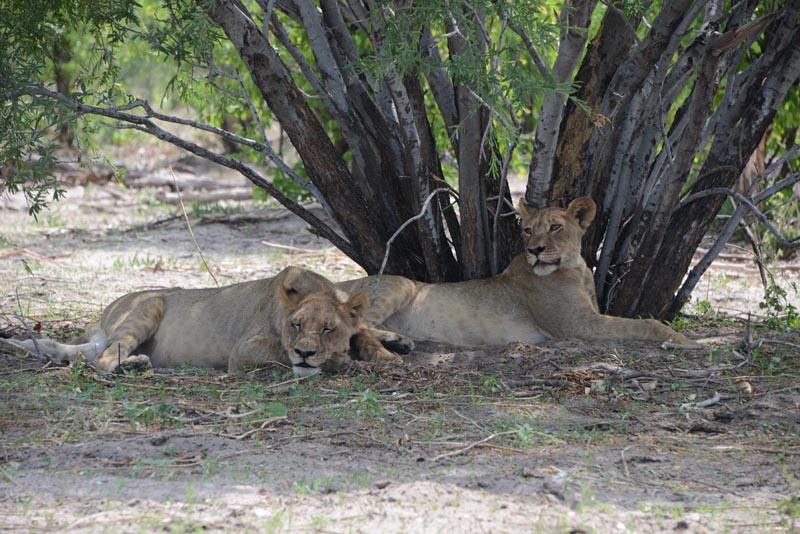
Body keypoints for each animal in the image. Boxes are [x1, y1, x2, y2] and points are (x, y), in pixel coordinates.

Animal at [14, 266, 409, 376]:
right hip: (148, 305)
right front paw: (338, 360)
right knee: (103, 358)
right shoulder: (243, 352)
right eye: (295, 325)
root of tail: (105, 313)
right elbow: (280, 355)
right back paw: (133, 364)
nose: (305, 353)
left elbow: (361, 331)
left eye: (328, 328)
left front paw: (385, 352)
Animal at [339, 197, 700, 348]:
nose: (535, 250)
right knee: (355, 324)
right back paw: (397, 341)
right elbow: (647, 324)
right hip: (401, 284)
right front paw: (688, 341)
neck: (574, 267)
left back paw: (400, 340)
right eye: (527, 230)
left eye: (554, 227)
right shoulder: (578, 325)